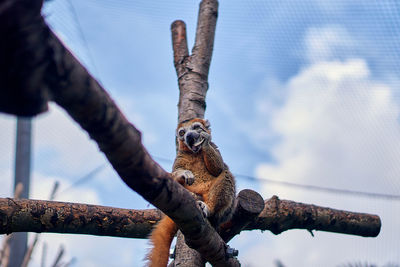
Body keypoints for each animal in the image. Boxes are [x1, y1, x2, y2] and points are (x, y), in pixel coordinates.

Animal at [146, 119, 234, 267]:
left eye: (196, 127)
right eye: (182, 133)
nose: (189, 136)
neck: (194, 153)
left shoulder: (214, 147)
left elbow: (218, 168)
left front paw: (204, 141)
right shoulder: (179, 156)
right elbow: (175, 174)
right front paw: (183, 173)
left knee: (226, 174)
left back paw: (208, 208)